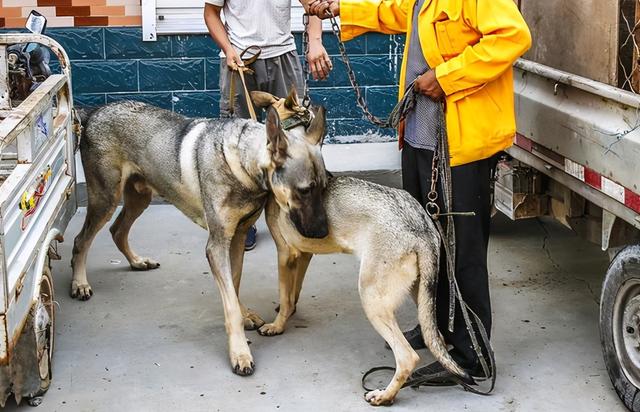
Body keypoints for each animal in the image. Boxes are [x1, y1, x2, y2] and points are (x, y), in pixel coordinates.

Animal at [72, 97, 328, 376]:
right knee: (81, 241)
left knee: (117, 231)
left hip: (140, 197)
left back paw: (137, 262)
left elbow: (234, 285)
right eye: (304, 191)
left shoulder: (237, 238)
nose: (323, 233)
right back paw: (79, 284)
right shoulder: (216, 246)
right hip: (105, 199)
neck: (241, 161)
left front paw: (244, 314)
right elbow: (229, 302)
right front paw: (240, 353)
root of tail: (94, 111)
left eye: (324, 187)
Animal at [250, 92, 470, 402]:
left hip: (371, 296)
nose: (320, 231)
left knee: (408, 357)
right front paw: (288, 310)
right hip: (420, 292)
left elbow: (286, 292)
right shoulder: (303, 254)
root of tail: (422, 224)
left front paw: (277, 325)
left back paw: (385, 395)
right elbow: (293, 292)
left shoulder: (286, 254)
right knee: (433, 334)